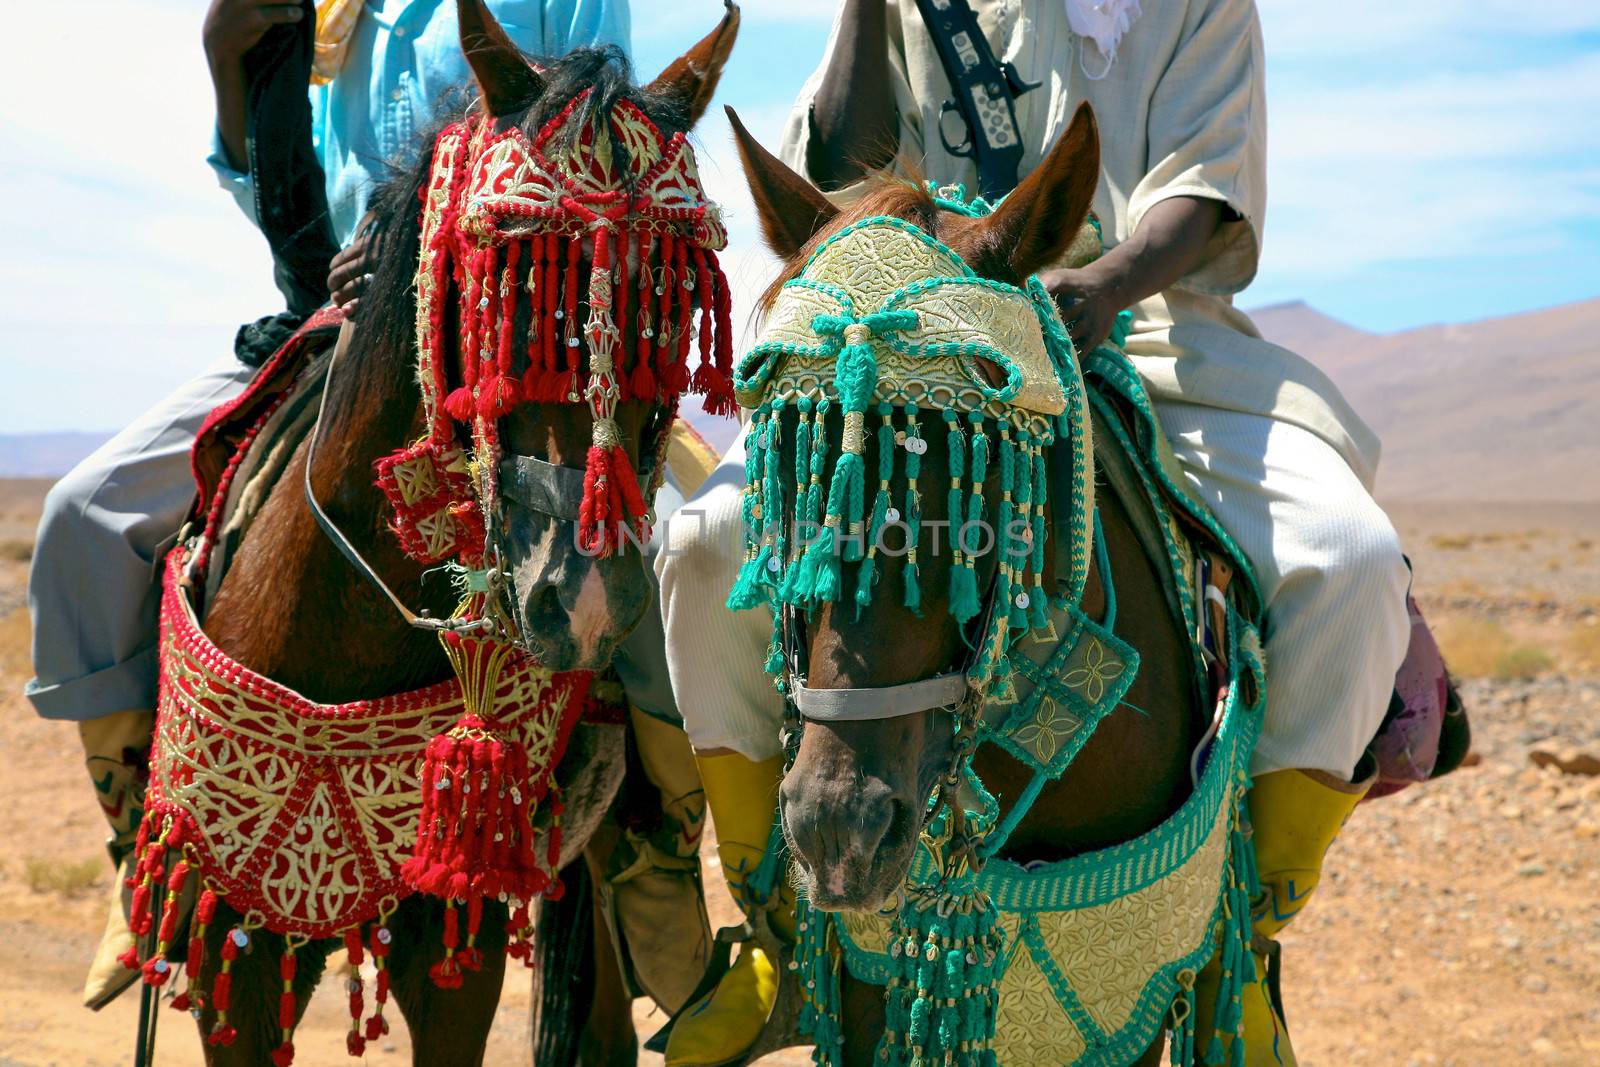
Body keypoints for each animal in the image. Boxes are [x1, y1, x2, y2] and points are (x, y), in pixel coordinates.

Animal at [118, 4, 742, 1062]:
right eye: (512, 285)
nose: (587, 599)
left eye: (676, 304)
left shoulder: (459, 933)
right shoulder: (236, 946)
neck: (337, 634)